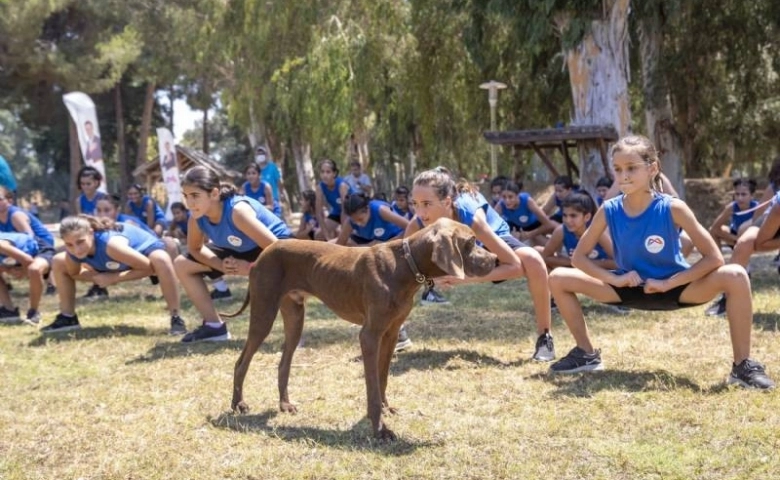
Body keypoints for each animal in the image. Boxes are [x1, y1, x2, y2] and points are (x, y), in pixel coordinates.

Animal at [222, 217, 496, 438]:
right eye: (471, 242)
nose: (494, 259)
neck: (405, 264)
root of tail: (264, 253)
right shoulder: (369, 336)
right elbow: (372, 386)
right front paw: (379, 429)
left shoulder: (390, 333)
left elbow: (382, 378)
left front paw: (385, 408)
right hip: (264, 314)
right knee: (241, 362)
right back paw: (239, 404)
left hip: (295, 317)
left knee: (283, 363)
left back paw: (284, 405)